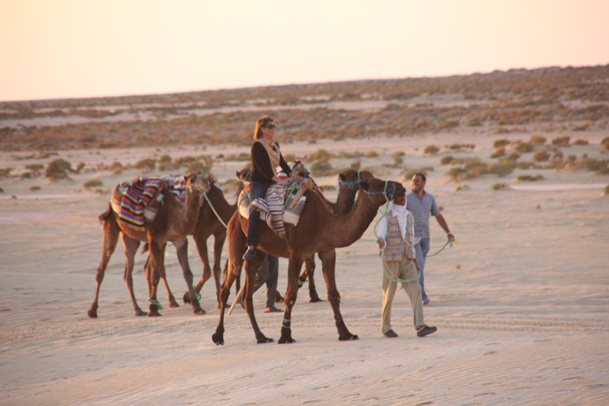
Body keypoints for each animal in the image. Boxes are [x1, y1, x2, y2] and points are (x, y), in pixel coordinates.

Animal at [86, 171, 211, 318]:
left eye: (204, 176)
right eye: (191, 179)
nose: (206, 183)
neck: (174, 217)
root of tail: (111, 202)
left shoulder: (180, 240)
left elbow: (187, 274)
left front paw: (197, 307)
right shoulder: (155, 240)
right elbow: (155, 275)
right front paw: (153, 309)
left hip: (130, 237)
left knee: (128, 270)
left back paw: (138, 309)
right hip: (111, 226)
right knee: (104, 263)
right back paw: (93, 310)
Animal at [211, 176, 406, 344]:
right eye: (379, 184)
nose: (402, 188)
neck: (324, 222)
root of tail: (235, 214)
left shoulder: (327, 251)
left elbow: (333, 295)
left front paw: (345, 333)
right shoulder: (296, 254)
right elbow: (290, 295)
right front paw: (285, 335)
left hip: (257, 253)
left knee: (247, 293)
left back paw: (261, 336)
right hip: (236, 235)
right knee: (228, 284)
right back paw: (218, 336)